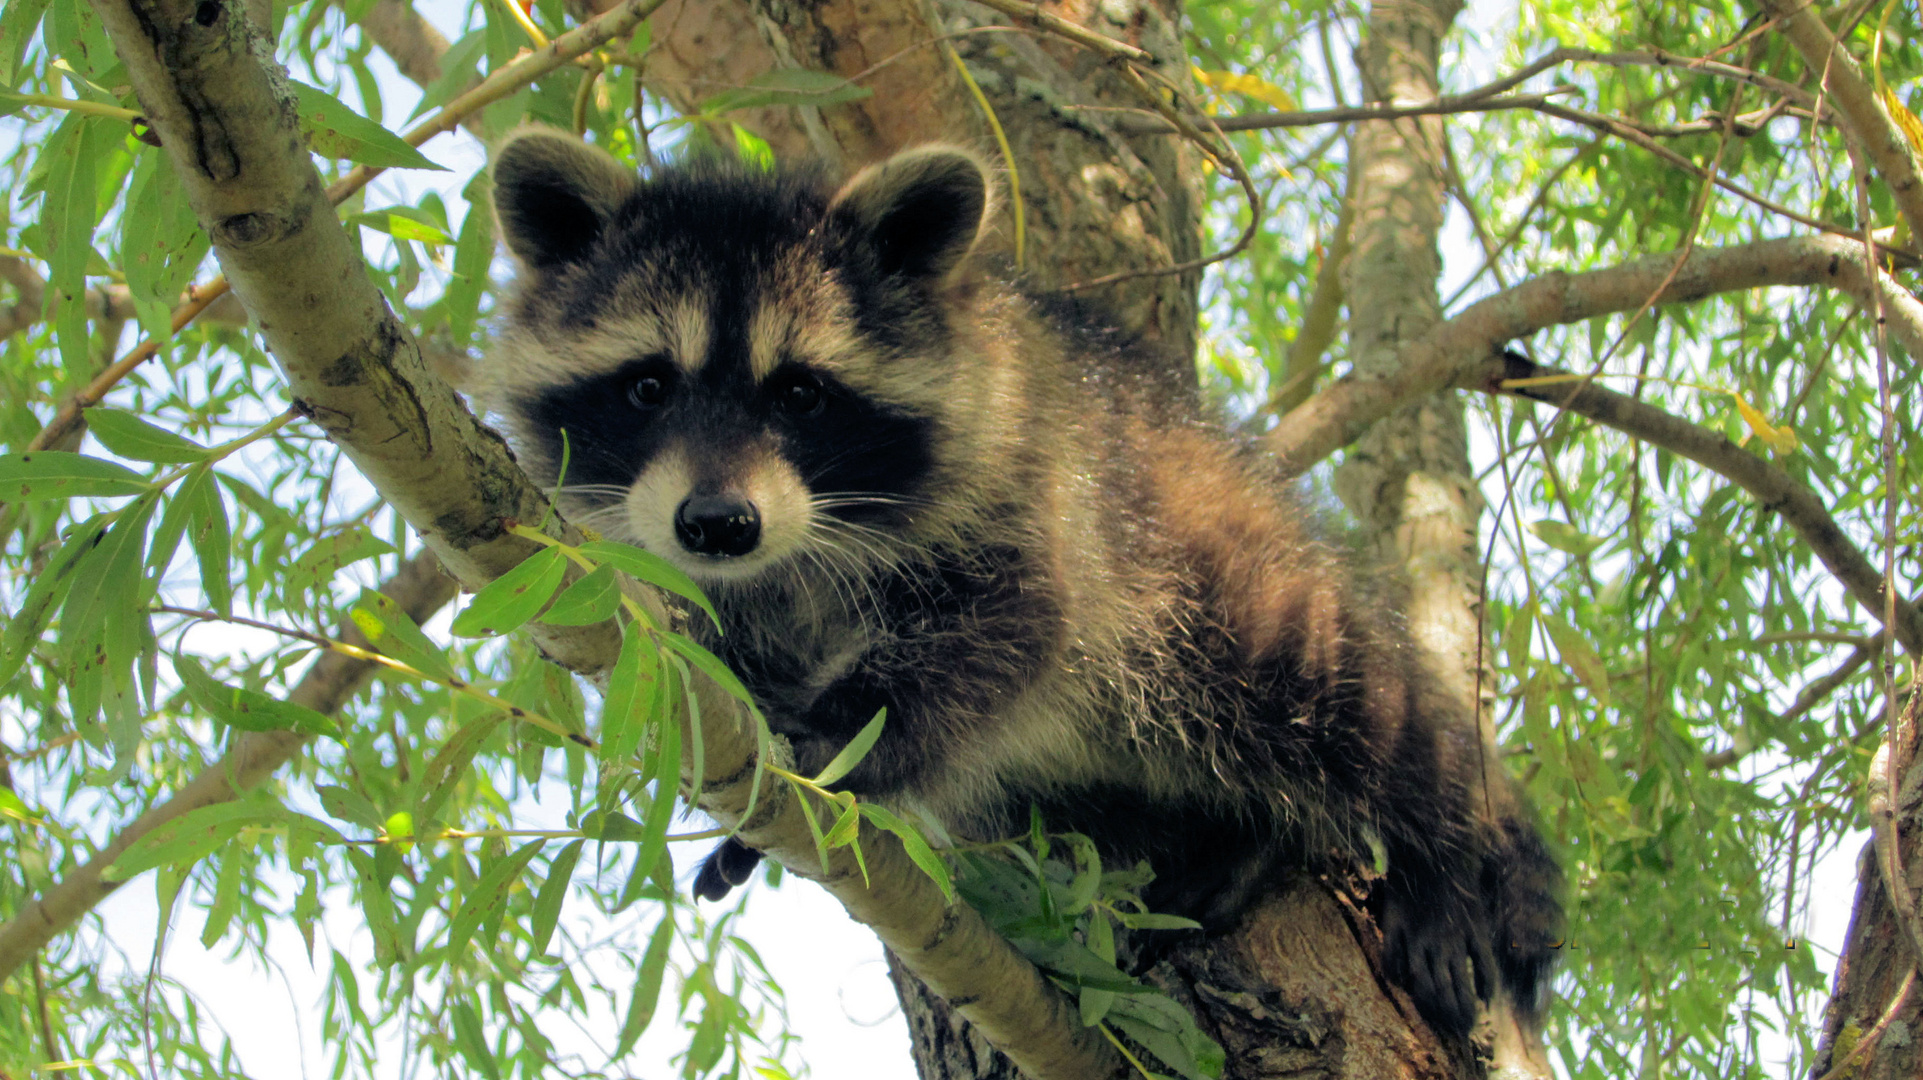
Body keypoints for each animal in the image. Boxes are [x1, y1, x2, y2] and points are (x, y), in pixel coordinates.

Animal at [484, 130, 1561, 1030]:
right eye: (647, 385)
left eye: (800, 393)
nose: (716, 524)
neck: (793, 555)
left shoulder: (1029, 488)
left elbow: (1010, 625)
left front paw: (837, 737)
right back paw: (1234, 842)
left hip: (1207, 568)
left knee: (1346, 696)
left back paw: (1438, 845)